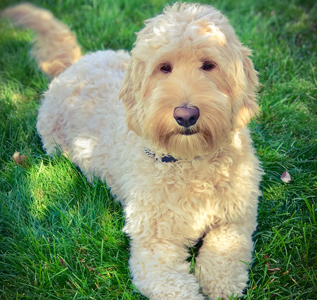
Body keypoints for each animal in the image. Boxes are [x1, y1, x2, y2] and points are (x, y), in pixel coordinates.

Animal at [3, 2, 262, 300]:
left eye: (209, 65)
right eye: (164, 68)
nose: (186, 115)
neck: (191, 162)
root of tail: (74, 66)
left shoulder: (238, 217)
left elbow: (226, 254)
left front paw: (219, 282)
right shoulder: (154, 244)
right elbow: (176, 287)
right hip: (52, 140)